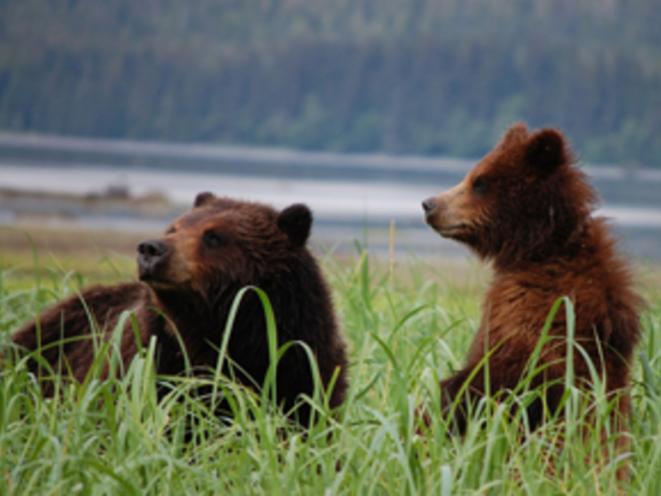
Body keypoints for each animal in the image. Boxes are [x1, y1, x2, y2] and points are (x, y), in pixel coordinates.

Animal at [421, 123, 642, 437]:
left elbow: (490, 380)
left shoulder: (533, 312)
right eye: (474, 175)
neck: (538, 249)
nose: (429, 204)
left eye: (480, 182)